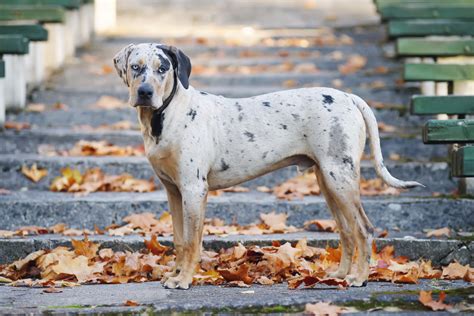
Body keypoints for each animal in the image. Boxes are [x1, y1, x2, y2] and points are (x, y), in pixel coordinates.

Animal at [114, 43, 422, 290]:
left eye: (162, 68)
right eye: (135, 67)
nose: (144, 92)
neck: (166, 116)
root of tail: (349, 97)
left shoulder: (193, 190)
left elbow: (191, 241)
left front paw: (184, 280)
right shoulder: (173, 191)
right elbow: (179, 240)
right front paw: (175, 274)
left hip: (340, 179)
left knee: (363, 229)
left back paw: (359, 278)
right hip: (328, 180)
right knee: (347, 231)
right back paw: (340, 274)